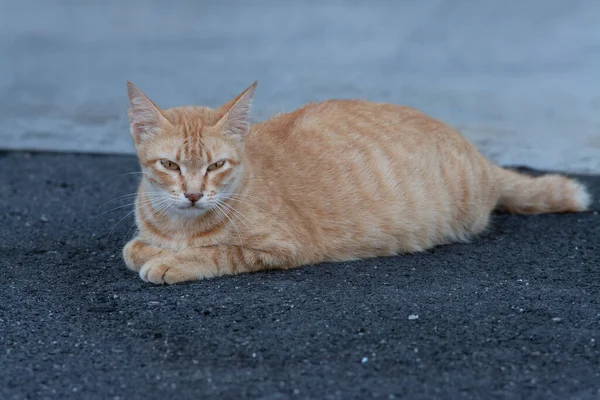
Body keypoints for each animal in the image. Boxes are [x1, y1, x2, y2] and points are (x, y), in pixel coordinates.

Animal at [120, 80, 592, 284]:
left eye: (216, 165)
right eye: (170, 164)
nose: (194, 194)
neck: (181, 225)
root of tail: (478, 155)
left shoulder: (283, 246)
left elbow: (220, 252)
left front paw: (173, 261)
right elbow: (133, 247)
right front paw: (156, 250)